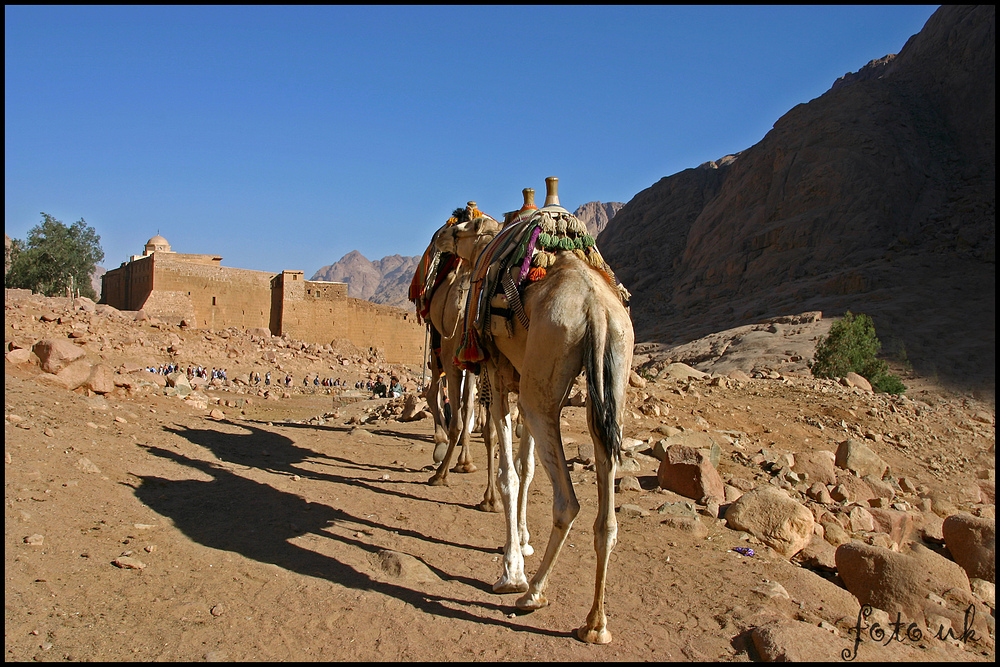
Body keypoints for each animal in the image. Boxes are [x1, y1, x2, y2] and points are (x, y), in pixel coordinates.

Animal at [448, 185, 632, 644]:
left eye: (458, 228)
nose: (442, 239)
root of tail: (596, 310)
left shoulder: (499, 375)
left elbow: (511, 474)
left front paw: (511, 567)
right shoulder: (525, 379)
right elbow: (527, 467)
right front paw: (523, 539)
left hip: (541, 378)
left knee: (568, 502)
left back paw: (531, 592)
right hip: (607, 384)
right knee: (606, 517)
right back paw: (595, 624)